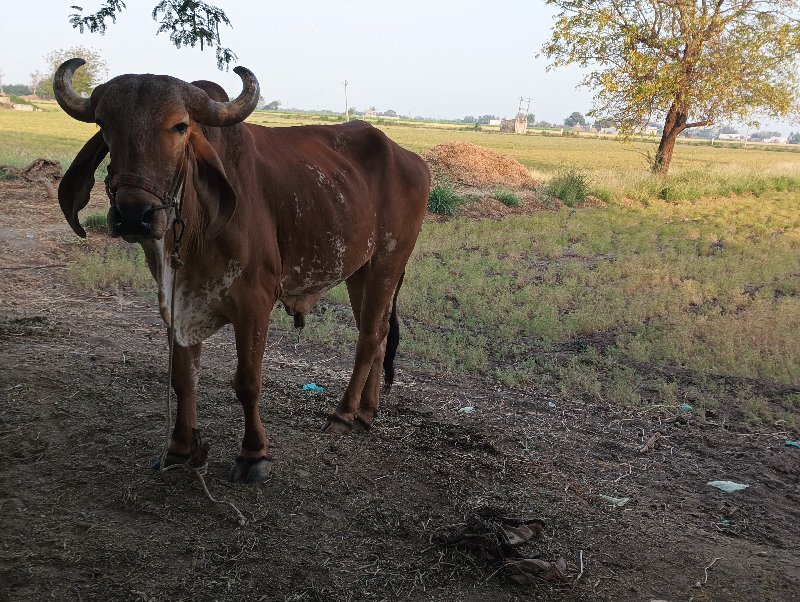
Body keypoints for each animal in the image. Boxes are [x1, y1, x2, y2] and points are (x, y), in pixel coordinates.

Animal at [54, 59, 432, 482]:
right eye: (104, 124)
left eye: (180, 126)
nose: (134, 215)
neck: (195, 228)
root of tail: (411, 158)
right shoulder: (175, 299)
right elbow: (183, 377)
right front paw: (179, 448)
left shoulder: (255, 302)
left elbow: (248, 382)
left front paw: (254, 454)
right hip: (359, 271)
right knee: (379, 331)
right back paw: (367, 411)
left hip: (388, 259)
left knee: (369, 335)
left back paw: (344, 414)